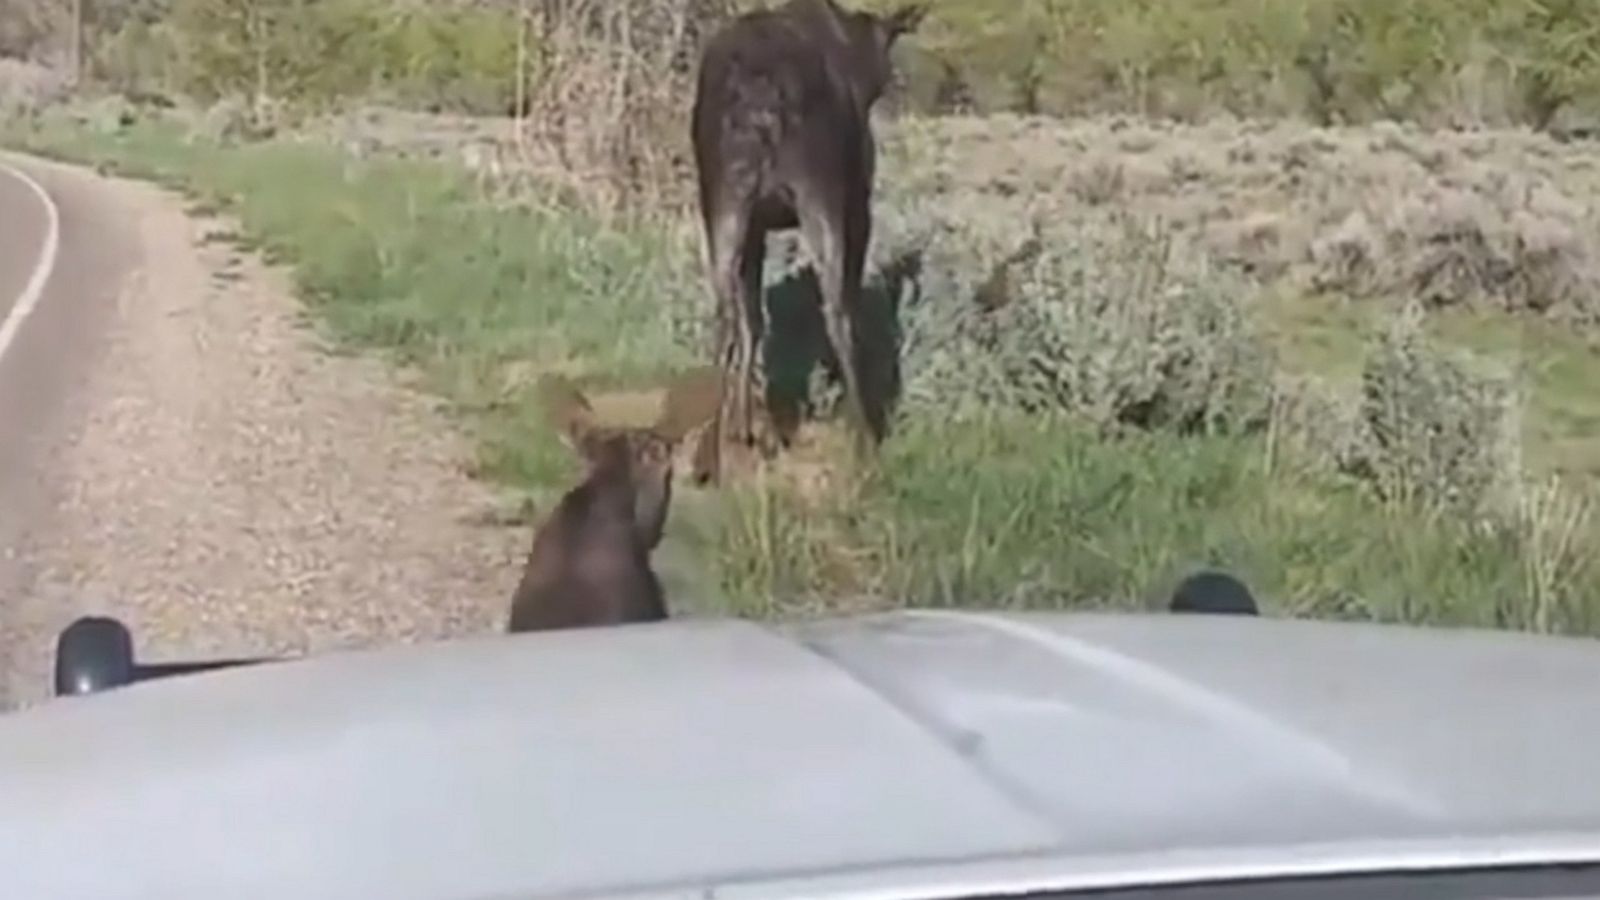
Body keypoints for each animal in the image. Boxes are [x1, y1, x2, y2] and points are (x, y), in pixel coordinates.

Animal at [688, 0, 928, 480]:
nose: (896, 81)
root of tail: (758, 97)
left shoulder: (757, 227)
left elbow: (753, 322)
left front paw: (745, 426)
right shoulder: (858, 203)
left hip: (723, 200)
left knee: (725, 316)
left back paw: (712, 451)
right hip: (821, 195)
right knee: (837, 314)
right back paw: (865, 437)